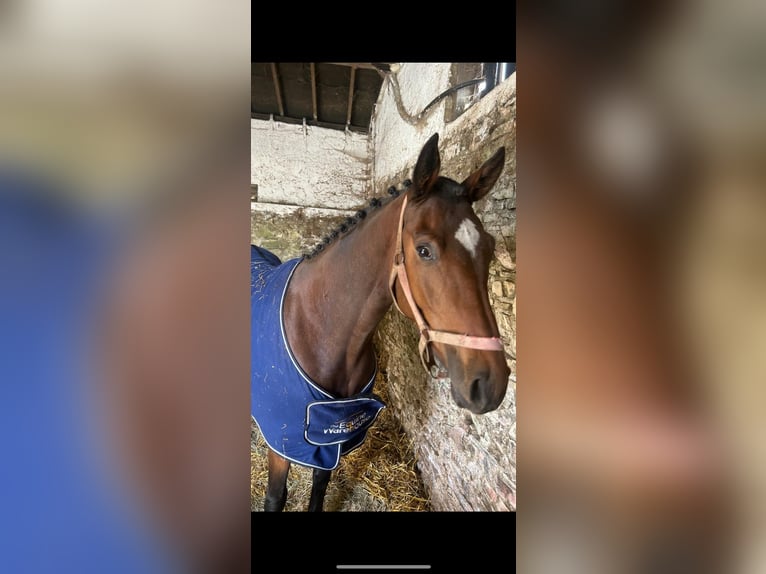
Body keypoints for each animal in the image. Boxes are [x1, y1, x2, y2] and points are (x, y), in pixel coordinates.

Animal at [251, 133, 510, 512]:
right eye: (423, 250)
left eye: (489, 247)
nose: (489, 384)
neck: (318, 331)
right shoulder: (283, 441)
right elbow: (275, 498)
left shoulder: (329, 440)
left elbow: (320, 486)